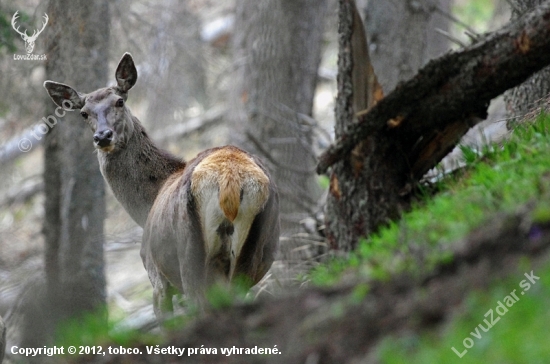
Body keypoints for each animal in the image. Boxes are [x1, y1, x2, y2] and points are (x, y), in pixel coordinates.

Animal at [44, 52, 280, 320]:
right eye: (84, 113)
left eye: (119, 101)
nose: (103, 136)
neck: (145, 207)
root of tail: (230, 180)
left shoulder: (156, 276)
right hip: (251, 254)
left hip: (190, 255)